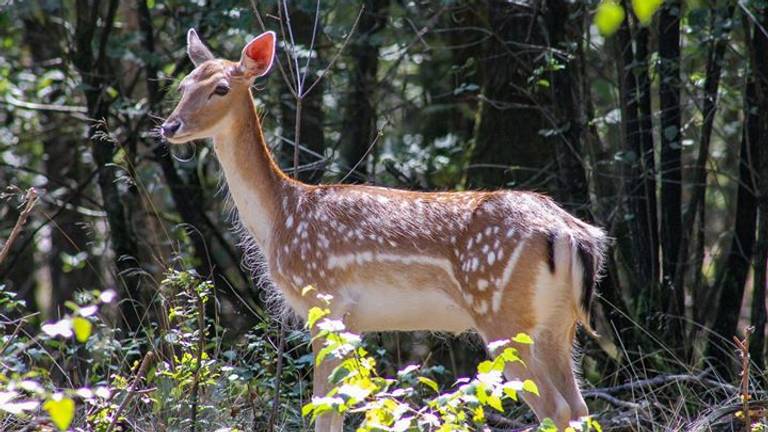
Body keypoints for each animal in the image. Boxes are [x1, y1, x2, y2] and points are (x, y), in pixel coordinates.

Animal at [160, 28, 608, 430]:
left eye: (220, 88)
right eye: (183, 84)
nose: (169, 126)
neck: (280, 217)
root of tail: (569, 233)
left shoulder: (324, 300)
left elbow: (324, 406)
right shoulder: (353, 320)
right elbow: (342, 401)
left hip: (501, 312)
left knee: (554, 407)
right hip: (558, 322)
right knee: (579, 407)